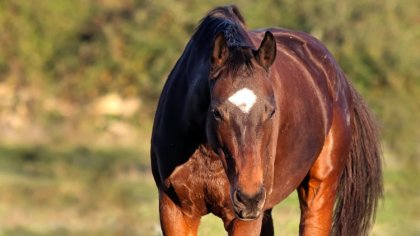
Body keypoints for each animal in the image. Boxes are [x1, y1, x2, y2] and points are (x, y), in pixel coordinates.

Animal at [152, 5, 384, 236]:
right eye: (216, 112)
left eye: (272, 111)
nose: (249, 198)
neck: (207, 153)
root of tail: (338, 75)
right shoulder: (175, 210)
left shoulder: (244, 219)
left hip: (318, 191)